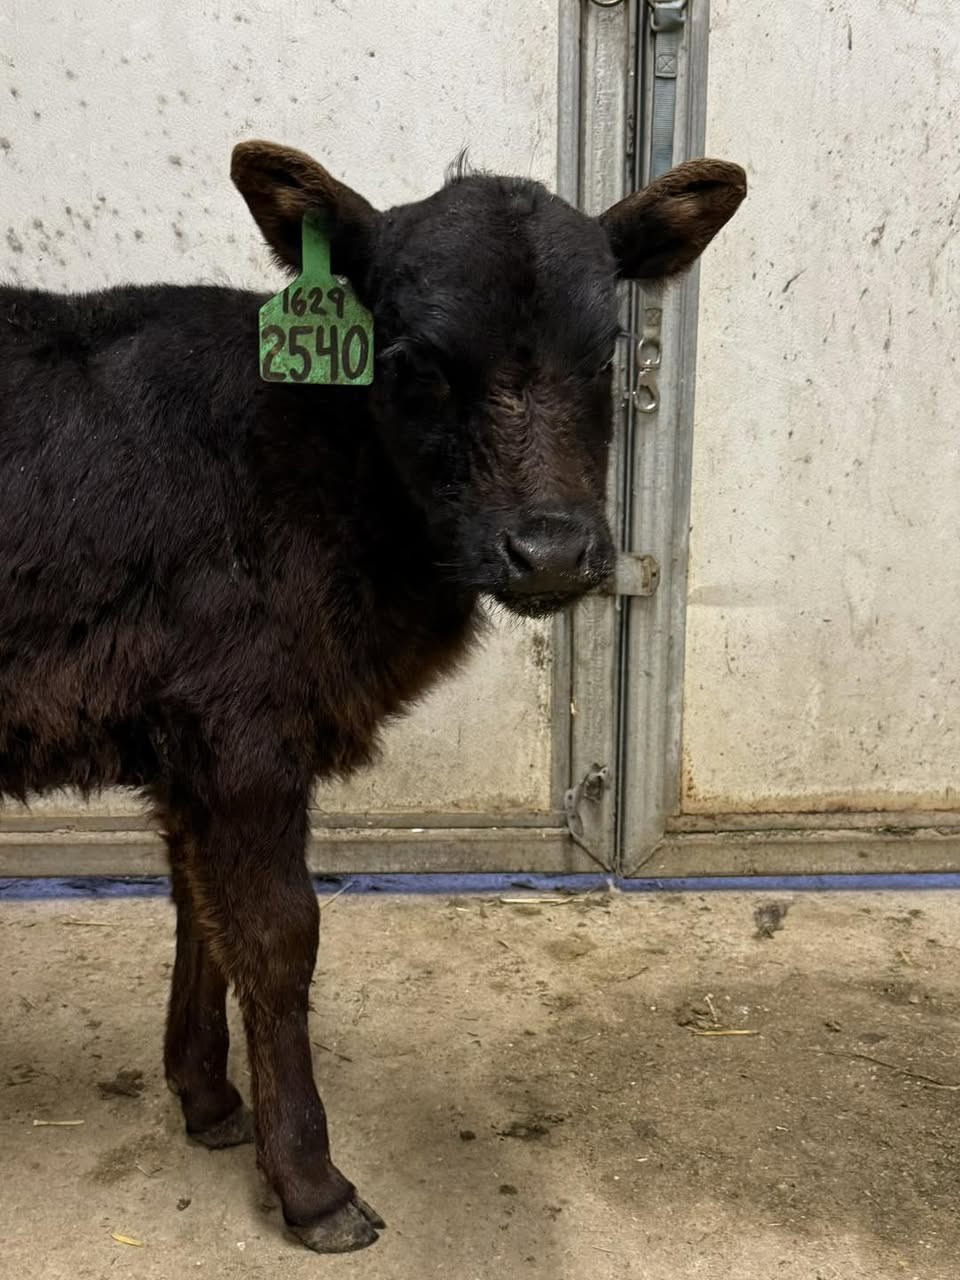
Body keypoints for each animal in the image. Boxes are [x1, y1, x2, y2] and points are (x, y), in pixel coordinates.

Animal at [0, 141, 745, 1251]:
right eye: (415, 359)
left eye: (610, 352)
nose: (552, 548)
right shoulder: (240, 719)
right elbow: (276, 936)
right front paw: (311, 1182)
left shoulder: (187, 733)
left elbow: (199, 906)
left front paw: (209, 1100)